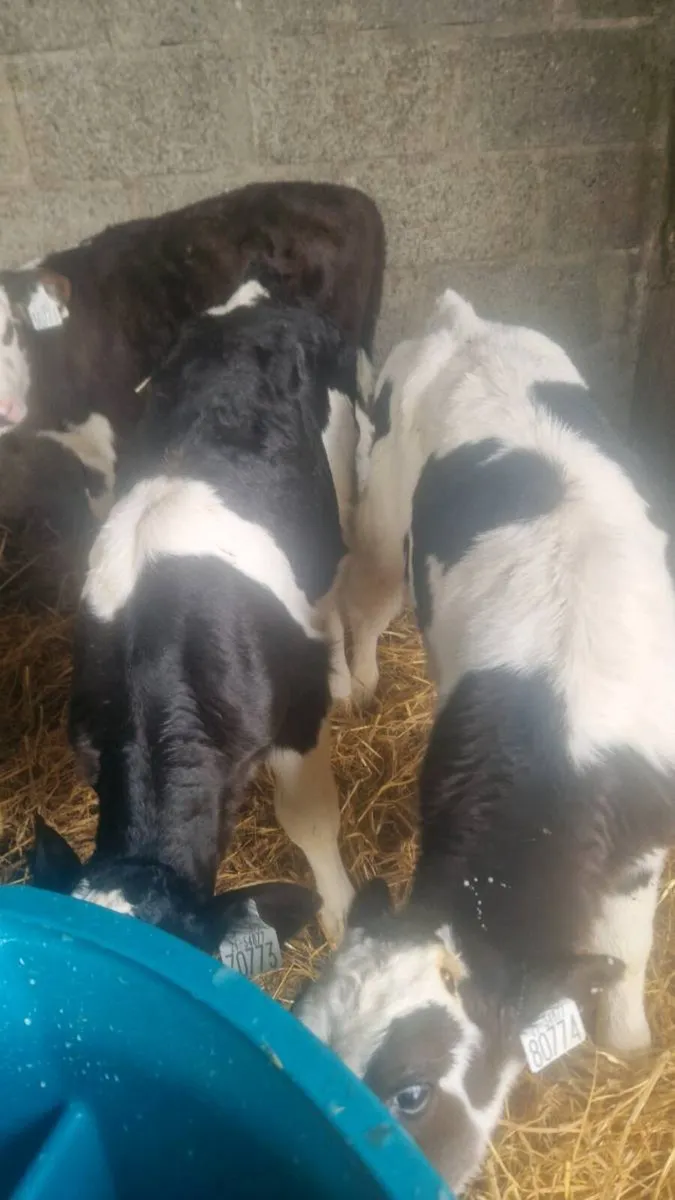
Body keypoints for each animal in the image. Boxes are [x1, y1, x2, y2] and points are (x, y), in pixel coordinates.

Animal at [29, 280, 361, 954]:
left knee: (333, 586)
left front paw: (340, 912)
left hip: (340, 485)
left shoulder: (298, 717)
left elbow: (309, 818)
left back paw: (342, 672)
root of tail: (255, 304)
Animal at [293, 289, 675, 1193]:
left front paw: (628, 1045)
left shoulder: (645, 837)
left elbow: (628, 947)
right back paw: (363, 679)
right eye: (298, 1025)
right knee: (365, 602)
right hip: (380, 516)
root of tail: (463, 323)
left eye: (410, 1093)